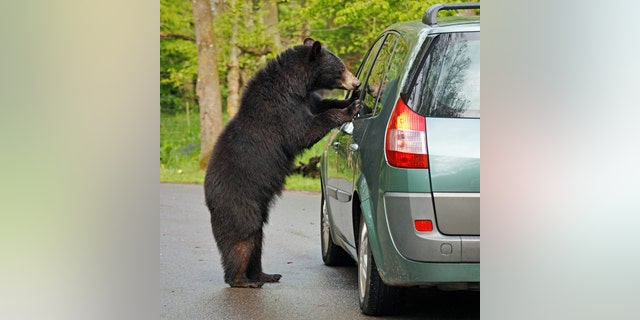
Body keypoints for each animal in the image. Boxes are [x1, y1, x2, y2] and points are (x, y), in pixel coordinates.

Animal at [206, 37, 364, 288]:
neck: (295, 86)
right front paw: (350, 108)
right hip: (239, 203)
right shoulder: (280, 110)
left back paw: (265, 275)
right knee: (243, 239)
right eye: (340, 68)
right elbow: (303, 131)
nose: (356, 83)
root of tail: (208, 198)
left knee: (257, 241)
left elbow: (323, 104)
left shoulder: (308, 99)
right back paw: (243, 280)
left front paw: (350, 101)